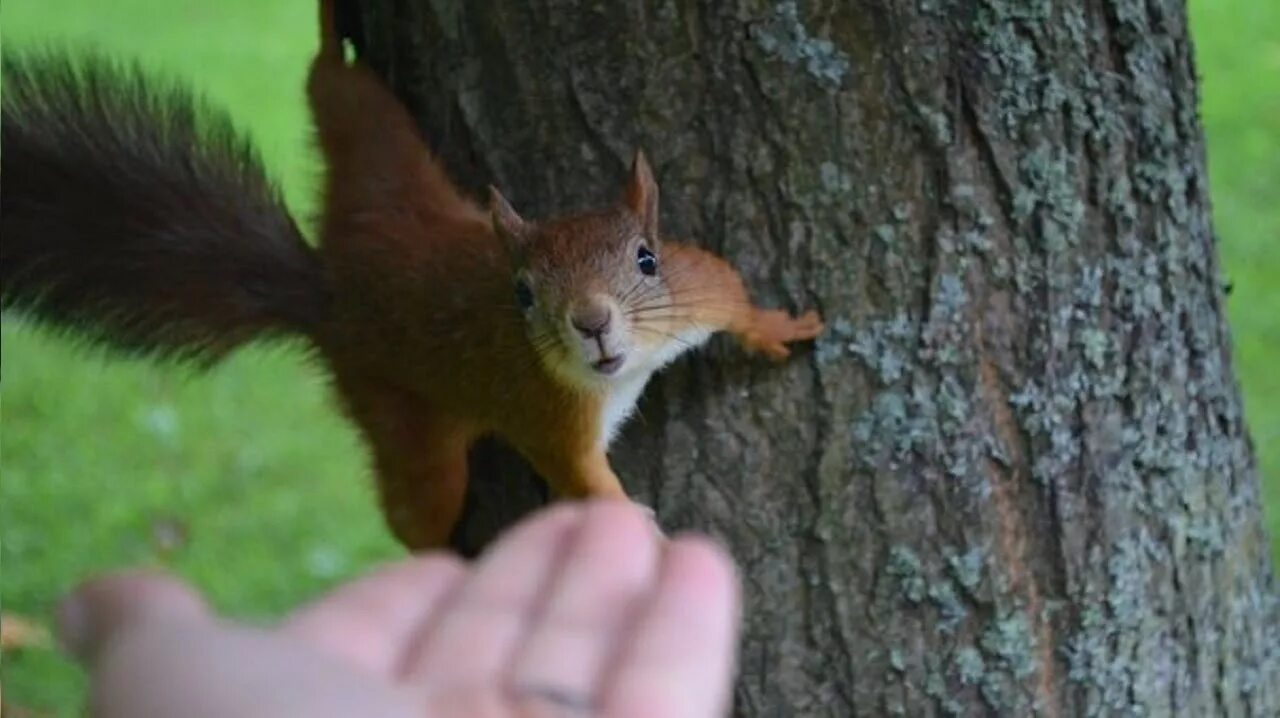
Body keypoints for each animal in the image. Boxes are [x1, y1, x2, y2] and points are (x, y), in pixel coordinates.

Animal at [0, 0, 819, 547]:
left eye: (646, 259)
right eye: (522, 294)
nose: (590, 322)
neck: (622, 374)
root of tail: (331, 292)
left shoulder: (693, 290)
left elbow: (732, 296)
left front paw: (779, 325)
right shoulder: (552, 419)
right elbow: (584, 482)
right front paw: (633, 528)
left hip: (386, 168)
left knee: (338, 94)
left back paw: (329, 31)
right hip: (398, 414)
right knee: (417, 509)